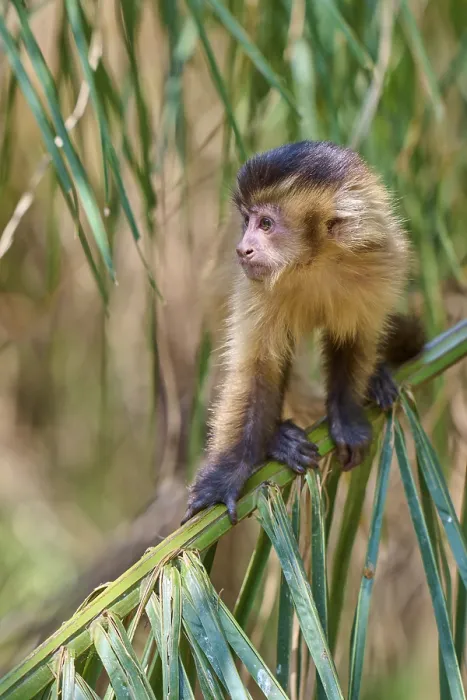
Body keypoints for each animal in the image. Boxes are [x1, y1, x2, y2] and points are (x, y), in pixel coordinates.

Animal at [182, 140, 425, 525]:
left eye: (266, 224)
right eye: (247, 221)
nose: (243, 247)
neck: (313, 261)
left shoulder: (378, 256)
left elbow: (355, 338)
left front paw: (346, 417)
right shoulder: (255, 283)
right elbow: (257, 368)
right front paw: (224, 478)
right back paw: (278, 441)